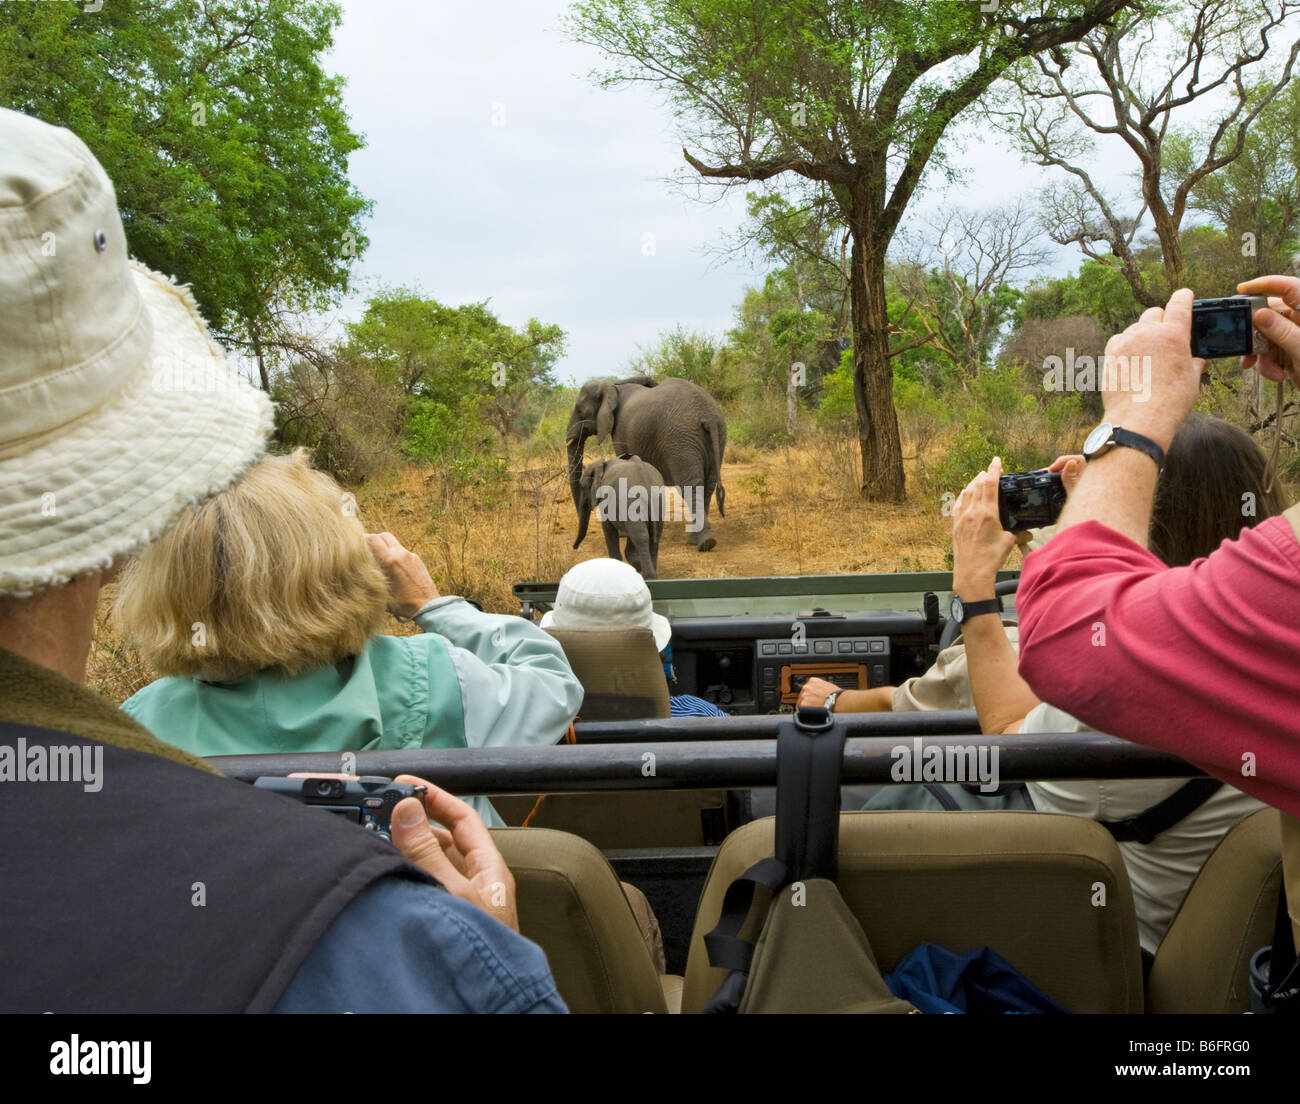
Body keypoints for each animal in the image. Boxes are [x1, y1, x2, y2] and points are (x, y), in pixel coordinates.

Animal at [566, 379, 728, 551]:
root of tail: (708, 416)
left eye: (580, 411)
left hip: (681, 440)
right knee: (708, 486)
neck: (611, 386)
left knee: (691, 486)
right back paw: (698, 541)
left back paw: (704, 543)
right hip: (716, 435)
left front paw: (622, 533)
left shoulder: (620, 432)